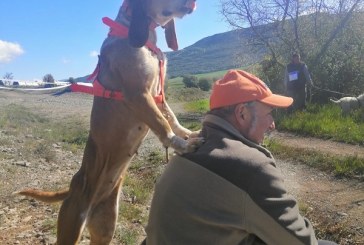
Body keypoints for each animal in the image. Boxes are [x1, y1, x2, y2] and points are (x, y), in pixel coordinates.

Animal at [17, 0, 200, 244]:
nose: (194, 4)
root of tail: (73, 188)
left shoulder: (157, 96)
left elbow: (172, 118)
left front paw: (188, 134)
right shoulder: (138, 95)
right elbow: (162, 124)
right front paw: (182, 144)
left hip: (105, 229)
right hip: (71, 227)